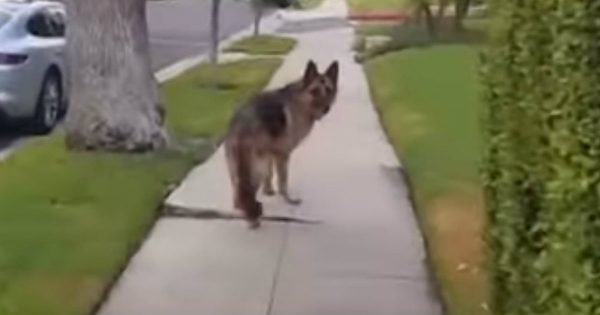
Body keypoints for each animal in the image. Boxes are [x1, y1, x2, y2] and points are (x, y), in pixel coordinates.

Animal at [224, 60, 340, 228]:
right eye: (314, 91)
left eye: (328, 90)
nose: (325, 109)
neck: (300, 99)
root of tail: (240, 125)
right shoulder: (283, 154)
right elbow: (283, 180)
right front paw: (288, 199)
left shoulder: (271, 153)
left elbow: (270, 174)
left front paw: (268, 191)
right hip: (255, 167)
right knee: (245, 194)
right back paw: (253, 220)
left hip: (238, 168)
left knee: (238, 196)